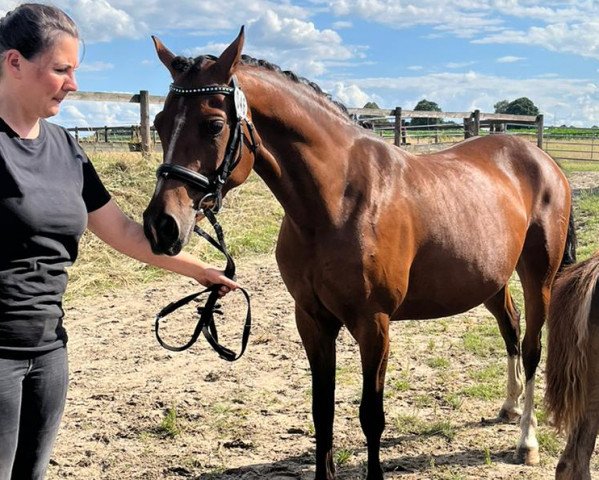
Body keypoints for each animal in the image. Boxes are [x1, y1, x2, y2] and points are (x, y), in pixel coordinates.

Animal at [144, 27, 576, 480]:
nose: (161, 224)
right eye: (159, 123)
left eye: (213, 125)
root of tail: (540, 158)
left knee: (532, 347)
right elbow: (322, 411)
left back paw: (526, 441)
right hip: (491, 279)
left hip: (538, 275)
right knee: (510, 327)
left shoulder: (374, 324)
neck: (337, 201)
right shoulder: (312, 319)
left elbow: (371, 415)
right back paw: (508, 407)